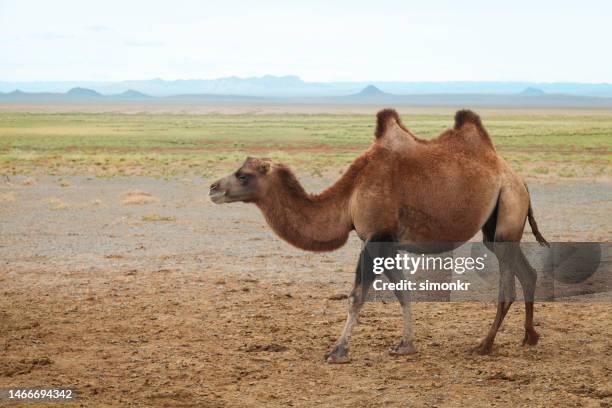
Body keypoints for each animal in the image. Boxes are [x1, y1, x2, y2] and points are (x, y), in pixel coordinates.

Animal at [212, 109, 548, 364]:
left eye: (243, 175)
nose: (214, 188)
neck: (349, 195)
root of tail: (519, 179)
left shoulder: (376, 238)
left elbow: (357, 295)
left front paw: (337, 351)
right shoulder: (386, 243)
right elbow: (403, 291)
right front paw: (405, 345)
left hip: (508, 207)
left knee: (508, 285)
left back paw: (484, 344)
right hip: (500, 223)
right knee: (526, 272)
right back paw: (529, 336)